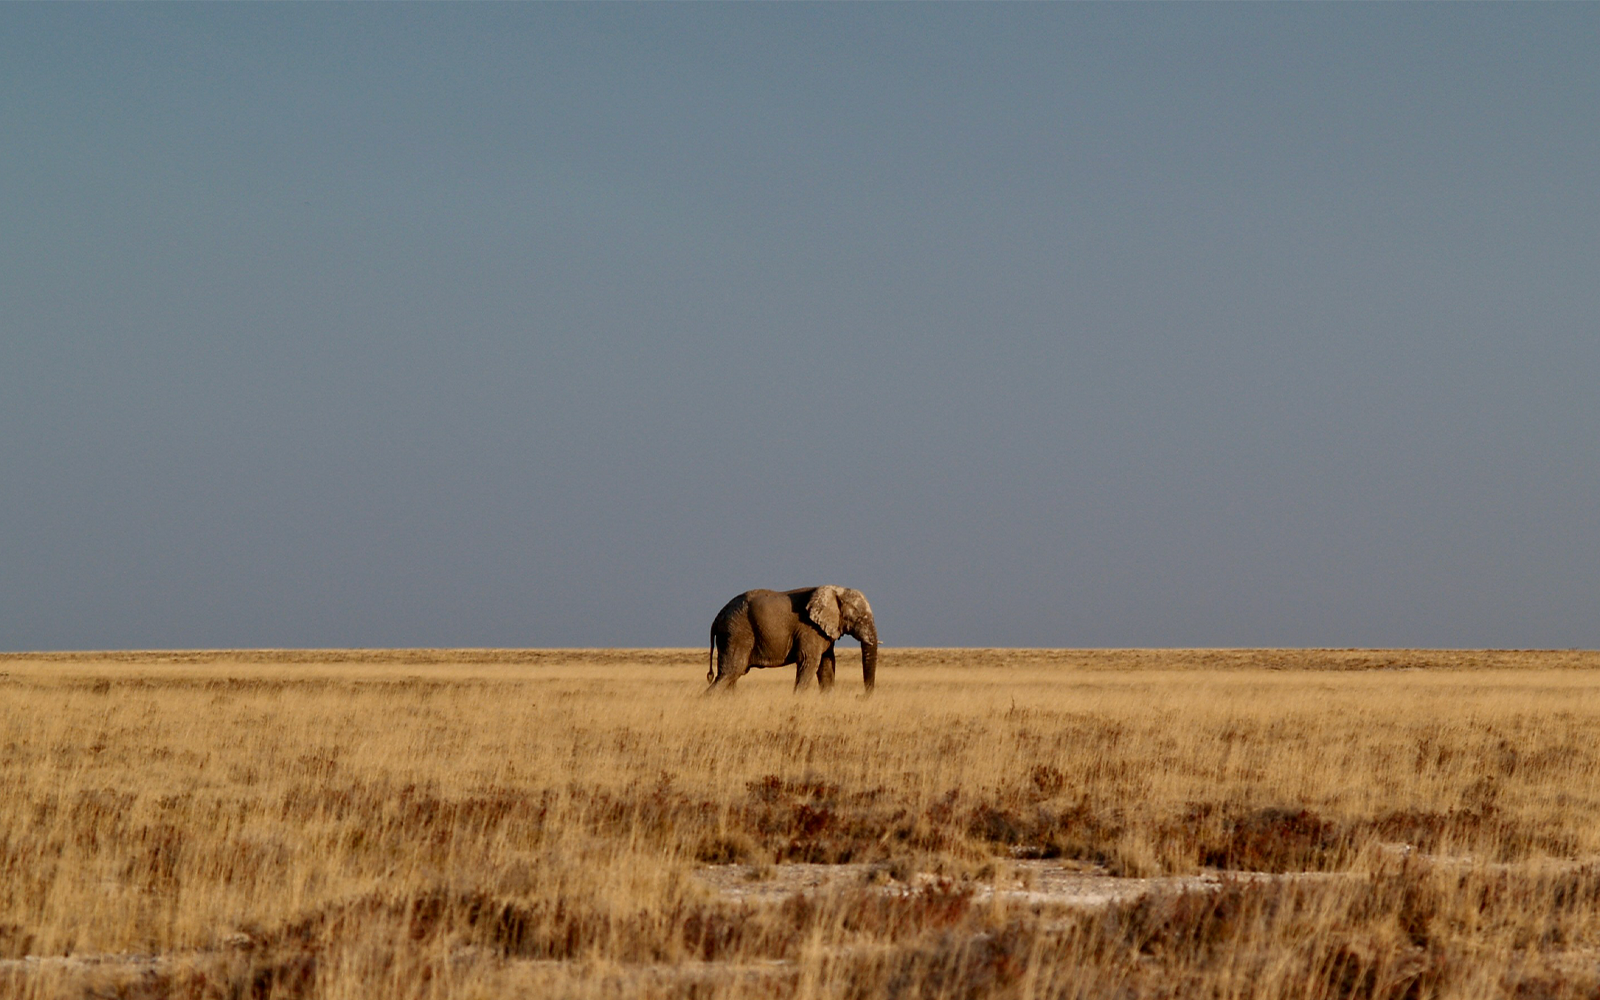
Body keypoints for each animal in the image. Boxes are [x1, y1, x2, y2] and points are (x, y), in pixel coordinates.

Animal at [710, 585, 883, 694]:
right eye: (859, 619)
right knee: (731, 672)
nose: (860, 696)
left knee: (732, 676)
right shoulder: (809, 629)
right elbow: (809, 661)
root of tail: (718, 617)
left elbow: (827, 664)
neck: (835, 590)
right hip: (736, 633)